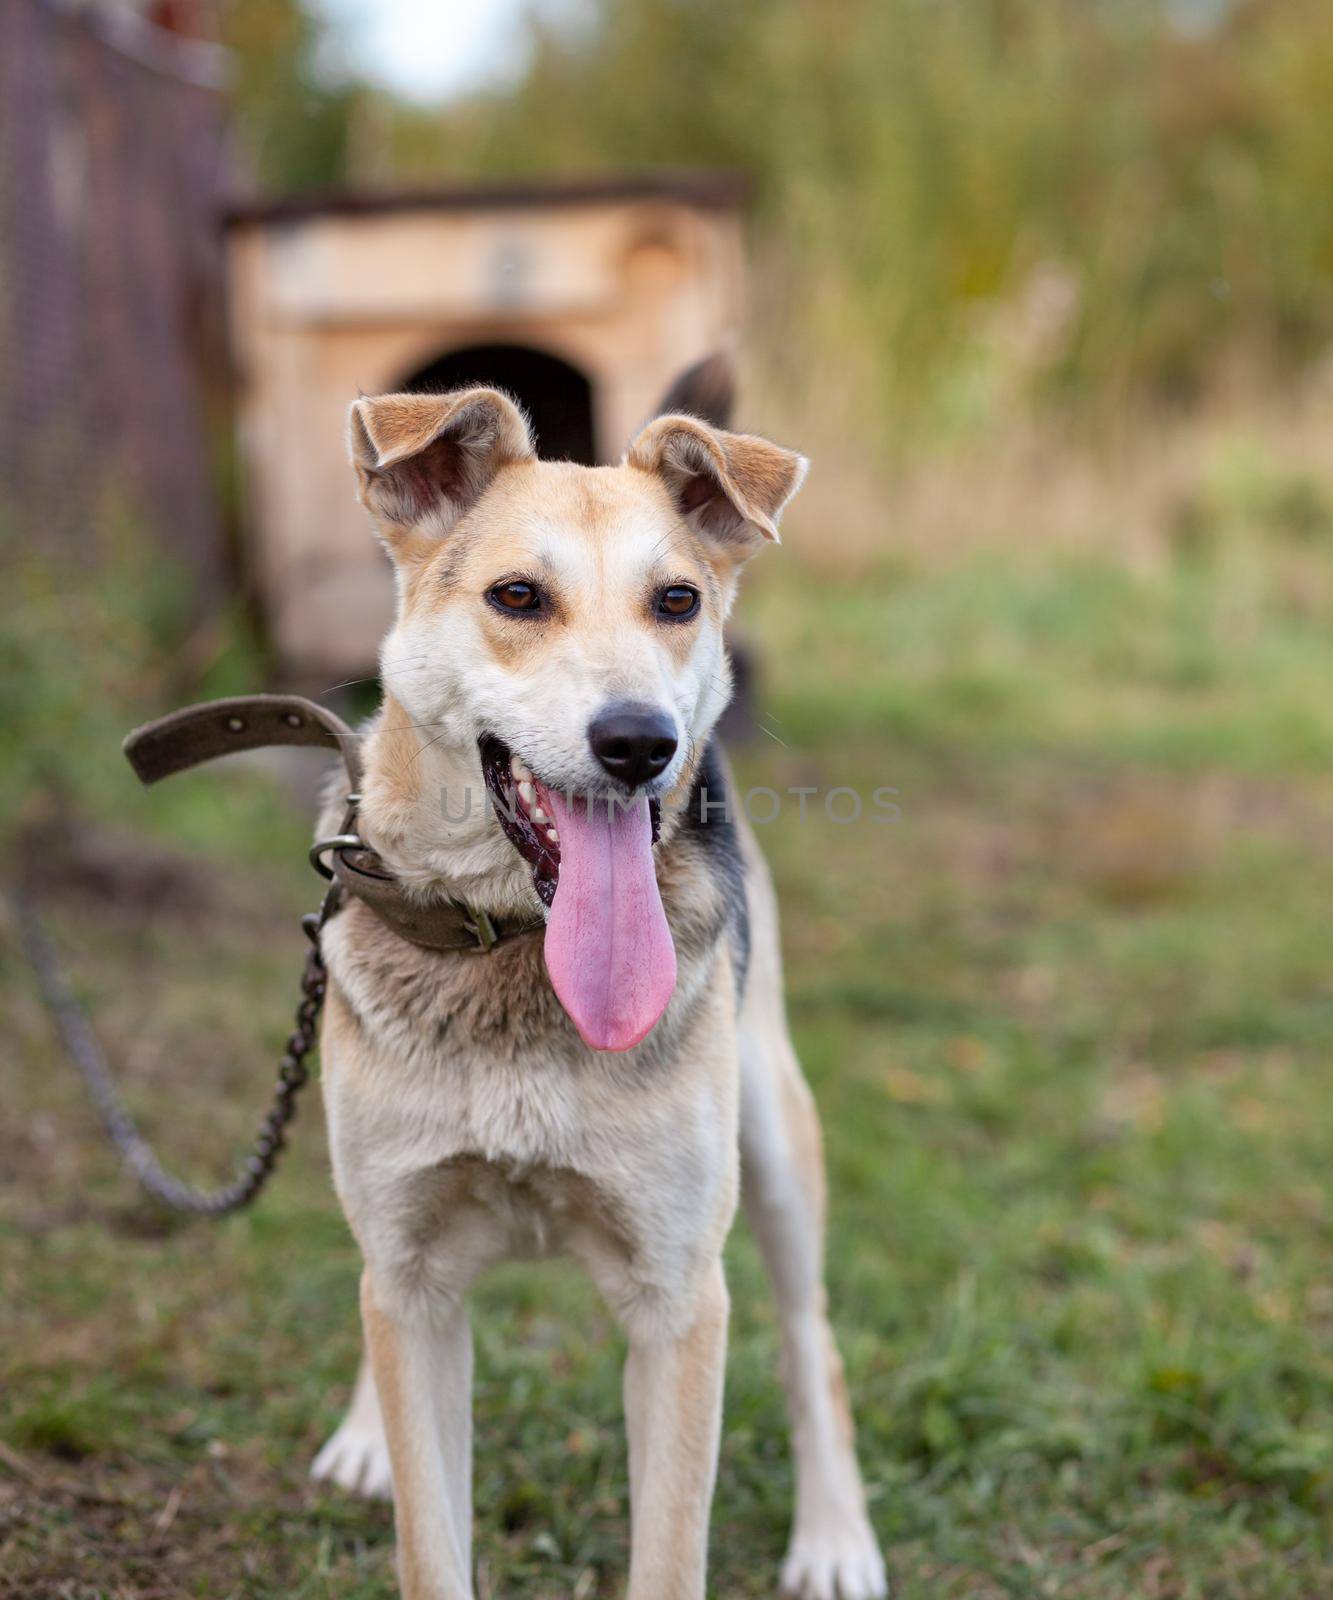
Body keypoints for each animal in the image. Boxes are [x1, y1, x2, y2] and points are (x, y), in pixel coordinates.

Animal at [302, 363, 883, 1600]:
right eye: (518, 597)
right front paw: (383, 1442)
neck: (513, 947)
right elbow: (430, 1538)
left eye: (677, 601)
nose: (639, 744)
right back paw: (365, 1430)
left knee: (811, 1337)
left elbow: (668, 1548)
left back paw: (834, 1536)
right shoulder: (414, 1284)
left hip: (774, 1134)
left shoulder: (678, 1300)